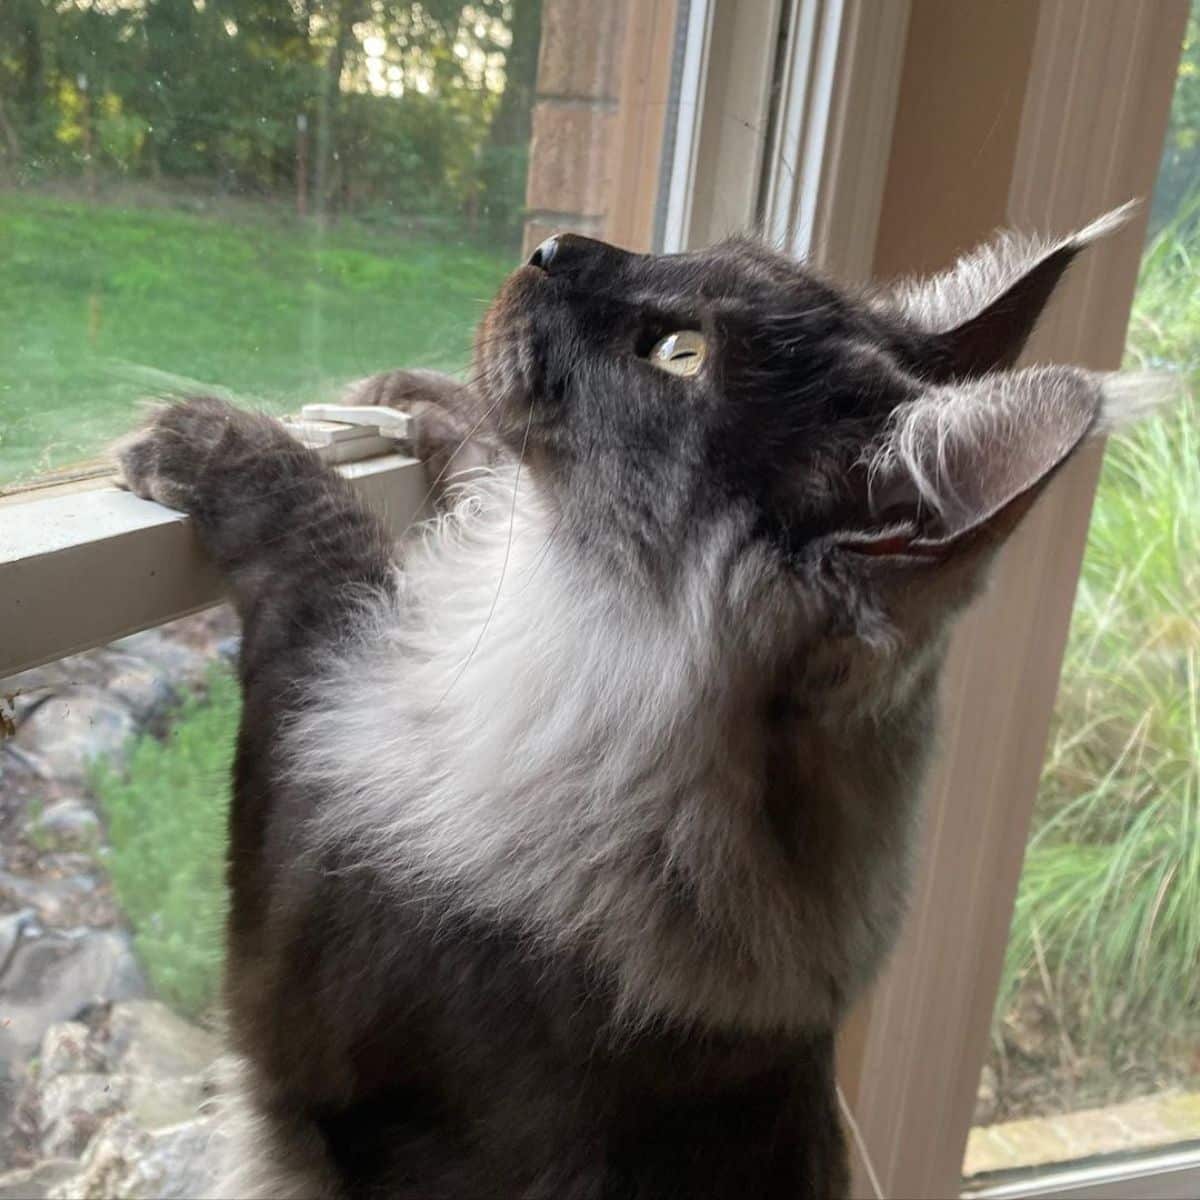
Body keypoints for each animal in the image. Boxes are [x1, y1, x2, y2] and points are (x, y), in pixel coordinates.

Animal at [119, 211, 1152, 1195]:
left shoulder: (295, 958)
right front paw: (407, 396)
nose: (552, 247)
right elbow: (481, 455)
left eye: (680, 356)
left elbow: (324, 570)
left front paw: (210, 440)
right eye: (707, 251)